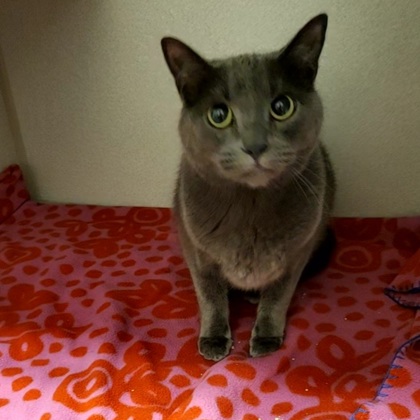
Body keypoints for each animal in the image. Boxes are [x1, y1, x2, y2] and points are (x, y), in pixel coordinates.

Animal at [161, 13, 335, 361]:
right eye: (219, 115)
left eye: (282, 106)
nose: (255, 147)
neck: (250, 207)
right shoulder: (197, 251)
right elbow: (210, 296)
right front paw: (214, 338)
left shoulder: (297, 254)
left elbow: (278, 296)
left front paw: (266, 335)